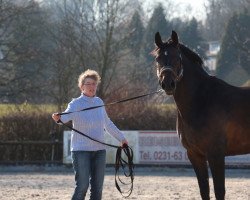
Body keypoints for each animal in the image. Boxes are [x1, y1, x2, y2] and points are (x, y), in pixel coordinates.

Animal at [152, 30, 250, 199]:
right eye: (158, 58)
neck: (202, 100)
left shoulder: (216, 155)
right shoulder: (195, 155)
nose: (168, 84)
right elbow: (204, 190)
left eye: (177, 57)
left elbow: (219, 190)